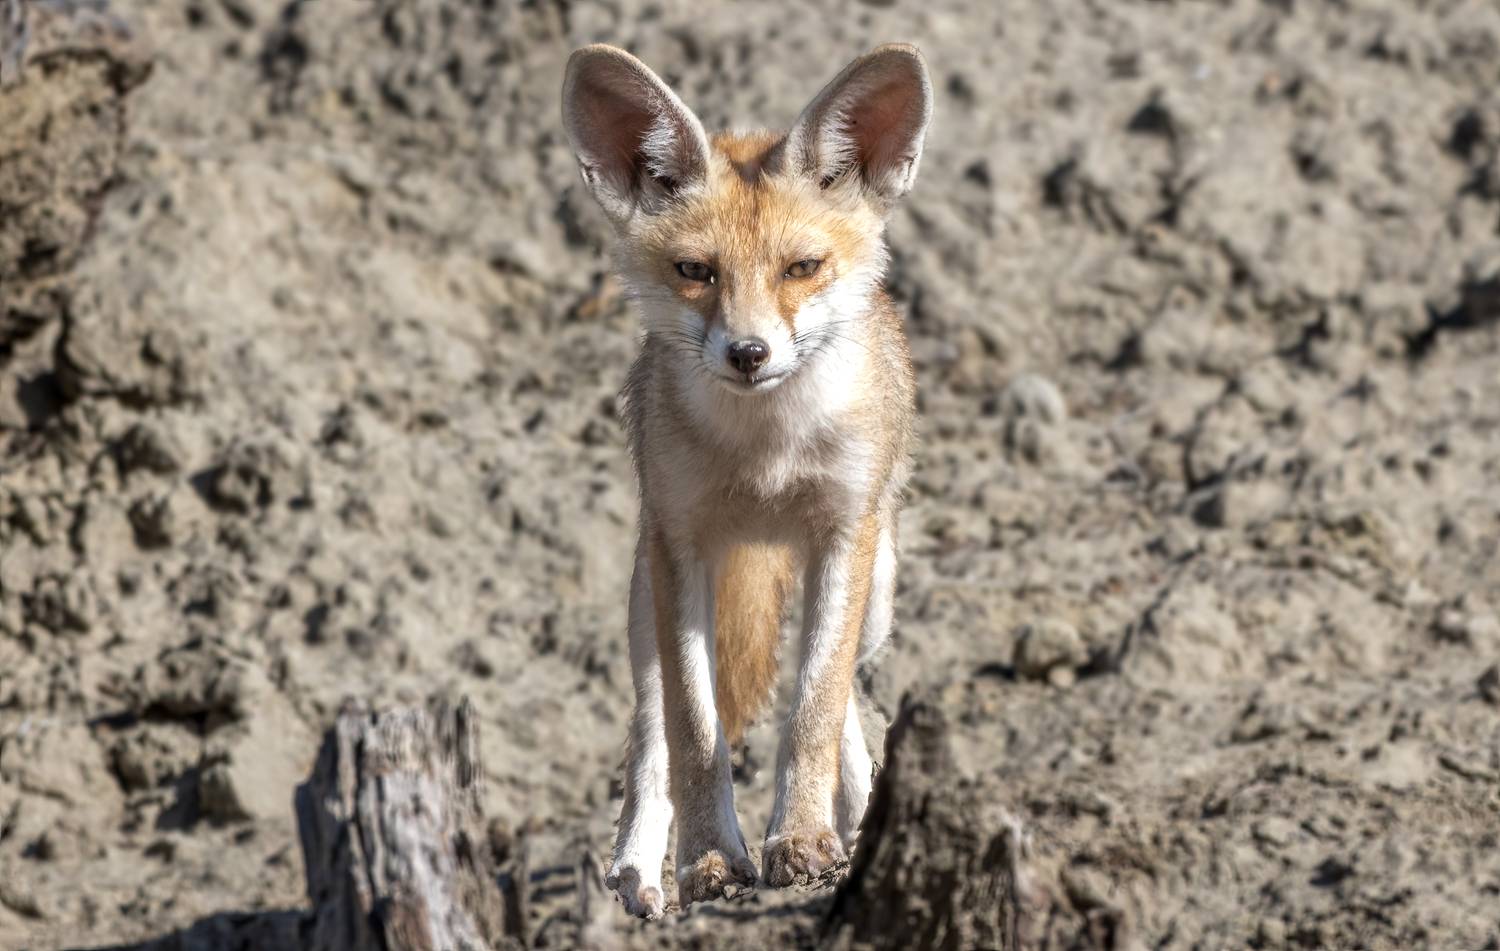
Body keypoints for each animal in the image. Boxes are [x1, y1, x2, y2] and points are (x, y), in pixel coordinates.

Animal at [560, 42, 931, 917]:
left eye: (802, 267)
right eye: (696, 270)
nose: (749, 353)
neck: (766, 460)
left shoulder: (843, 533)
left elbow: (815, 706)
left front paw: (799, 840)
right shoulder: (681, 546)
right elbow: (696, 731)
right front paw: (708, 860)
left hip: (878, 585)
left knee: (845, 693)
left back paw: (856, 816)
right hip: (645, 599)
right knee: (650, 723)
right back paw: (638, 867)